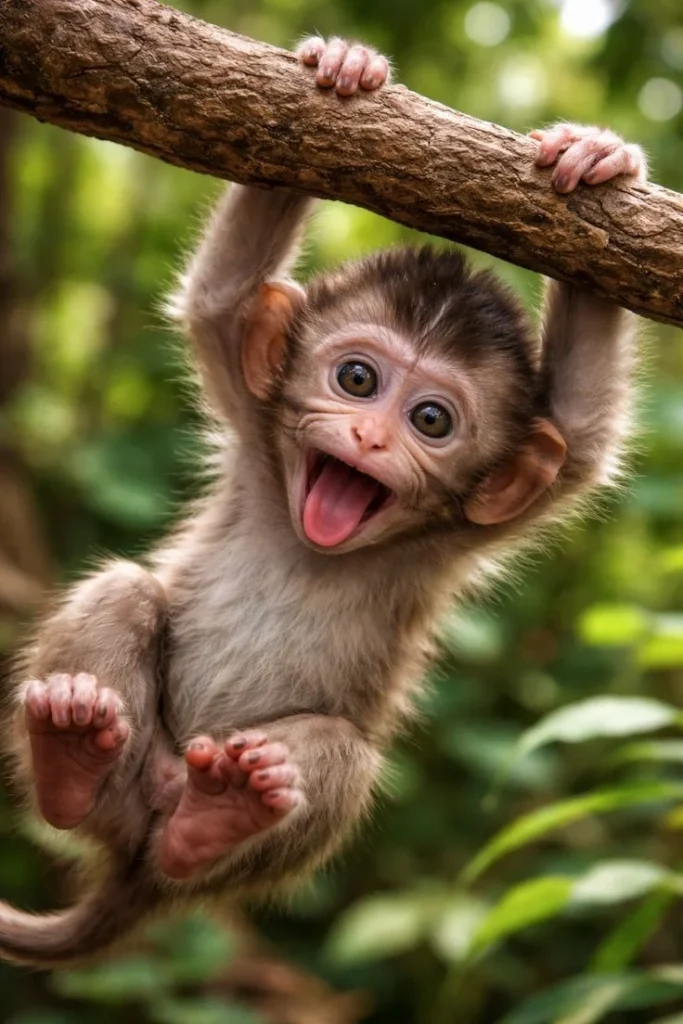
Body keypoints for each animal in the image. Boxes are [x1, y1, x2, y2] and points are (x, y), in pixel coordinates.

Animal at [0, 36, 645, 967]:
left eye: (429, 420)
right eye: (356, 379)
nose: (369, 440)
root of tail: (136, 874)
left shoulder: (474, 520)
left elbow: (585, 437)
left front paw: (597, 159)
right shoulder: (253, 422)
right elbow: (220, 297)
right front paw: (342, 66)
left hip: (224, 819)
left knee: (336, 759)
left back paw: (212, 816)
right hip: (132, 775)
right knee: (122, 595)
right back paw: (71, 755)